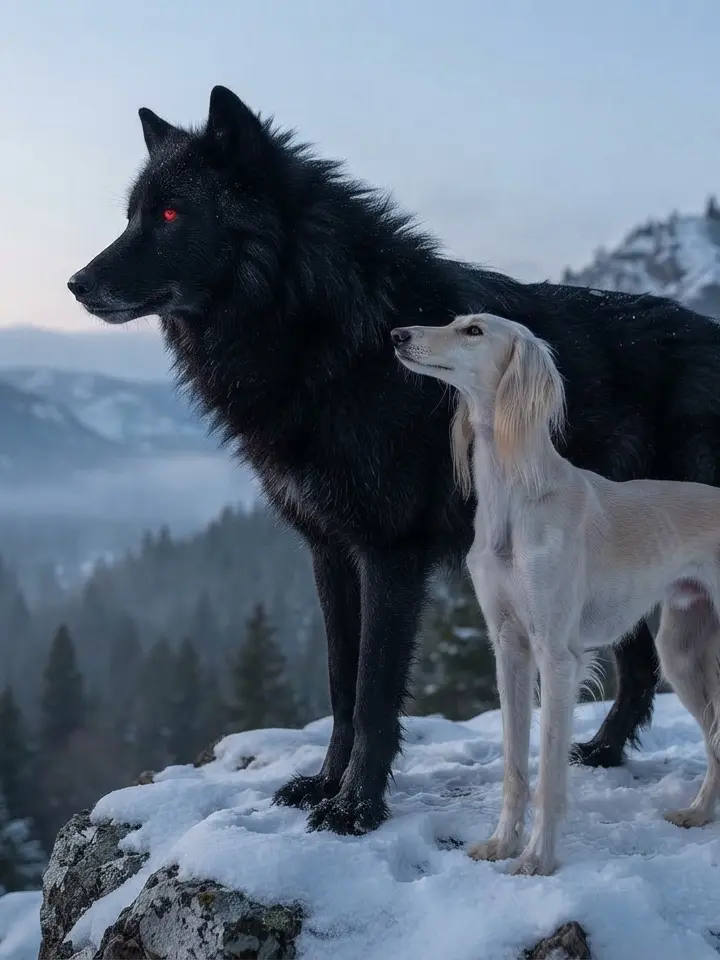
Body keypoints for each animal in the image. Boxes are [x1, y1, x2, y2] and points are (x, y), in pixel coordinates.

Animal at [67, 84, 720, 835]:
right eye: (131, 215)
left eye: (171, 214)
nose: (76, 284)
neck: (328, 326)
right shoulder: (328, 551)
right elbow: (340, 686)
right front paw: (324, 785)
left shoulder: (389, 554)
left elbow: (375, 691)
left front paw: (356, 808)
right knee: (640, 670)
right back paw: (603, 753)